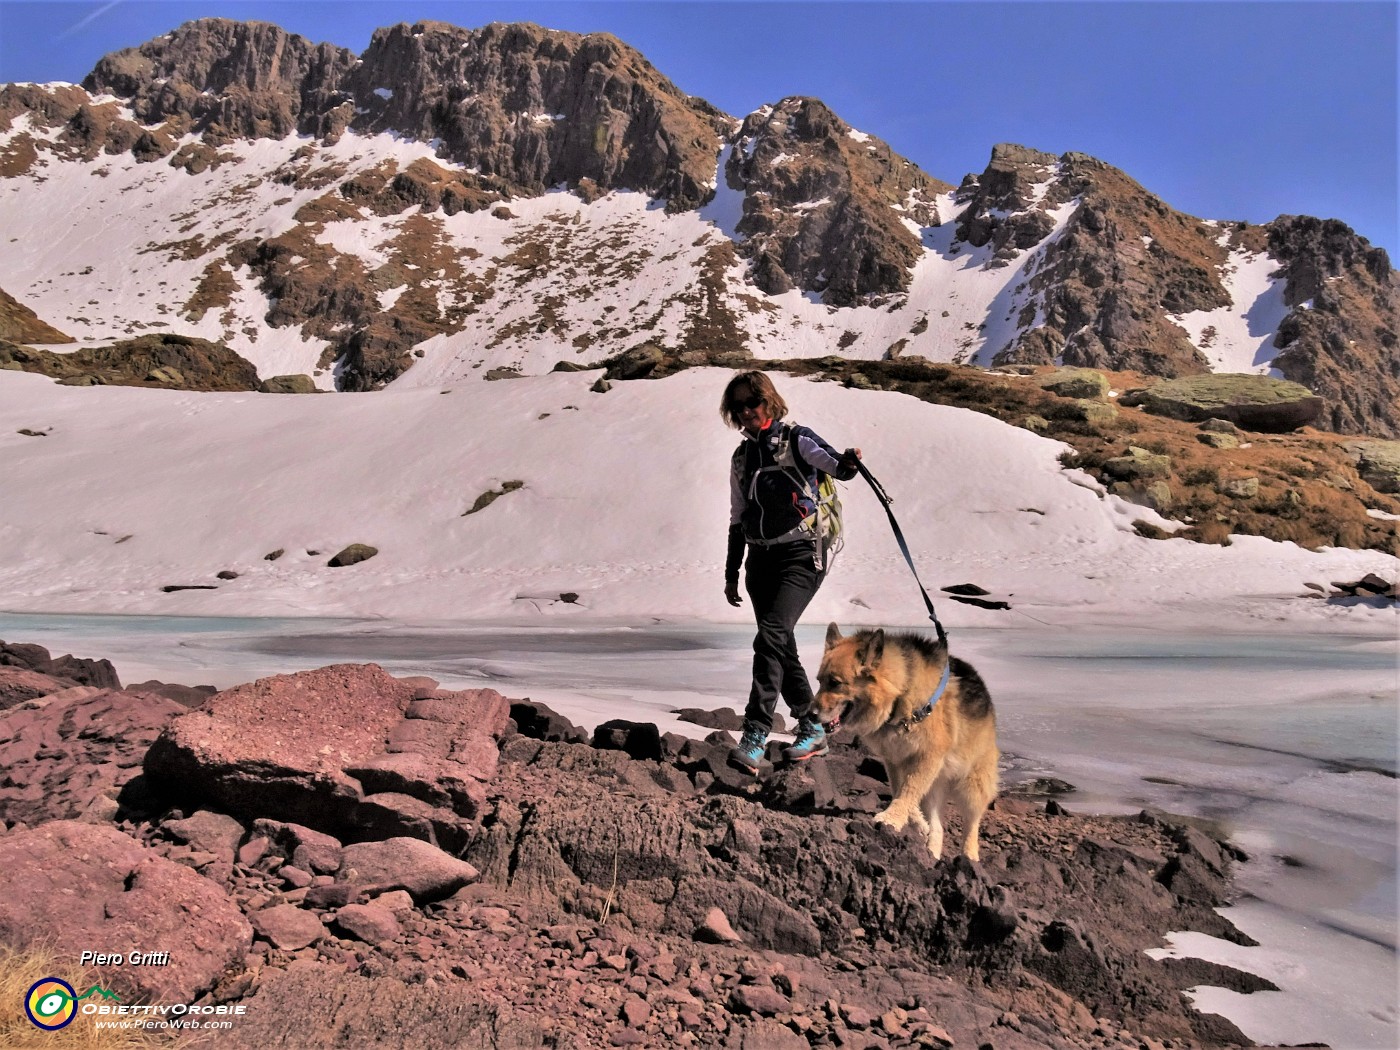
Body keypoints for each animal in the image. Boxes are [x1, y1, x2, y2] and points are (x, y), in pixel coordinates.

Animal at [812, 624, 996, 862]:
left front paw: (892, 818)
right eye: (819, 681)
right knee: (938, 827)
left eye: (835, 683)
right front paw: (915, 822)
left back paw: (969, 858)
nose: (810, 714)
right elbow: (901, 789)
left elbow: (909, 789)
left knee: (971, 825)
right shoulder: (894, 760)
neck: (900, 695)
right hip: (935, 789)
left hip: (972, 786)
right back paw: (931, 855)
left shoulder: (928, 757)